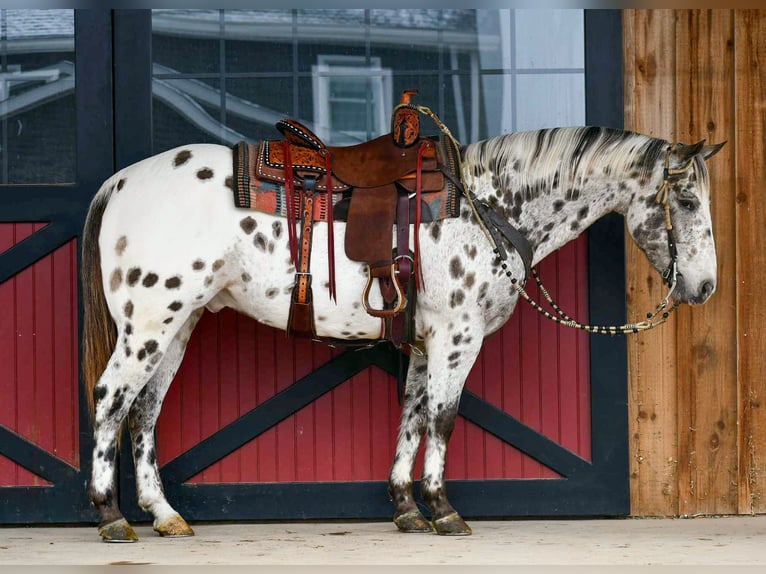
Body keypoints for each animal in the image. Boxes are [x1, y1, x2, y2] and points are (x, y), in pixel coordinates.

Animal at [81, 125, 724, 541]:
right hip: (149, 322)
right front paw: (443, 510)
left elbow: (412, 417)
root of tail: (120, 182)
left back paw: (163, 514)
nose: (705, 286)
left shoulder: (423, 342)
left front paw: (407, 508)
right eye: (688, 199)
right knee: (111, 400)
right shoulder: (458, 338)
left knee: (144, 412)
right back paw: (111, 516)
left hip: (178, 324)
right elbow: (443, 417)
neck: (488, 206)